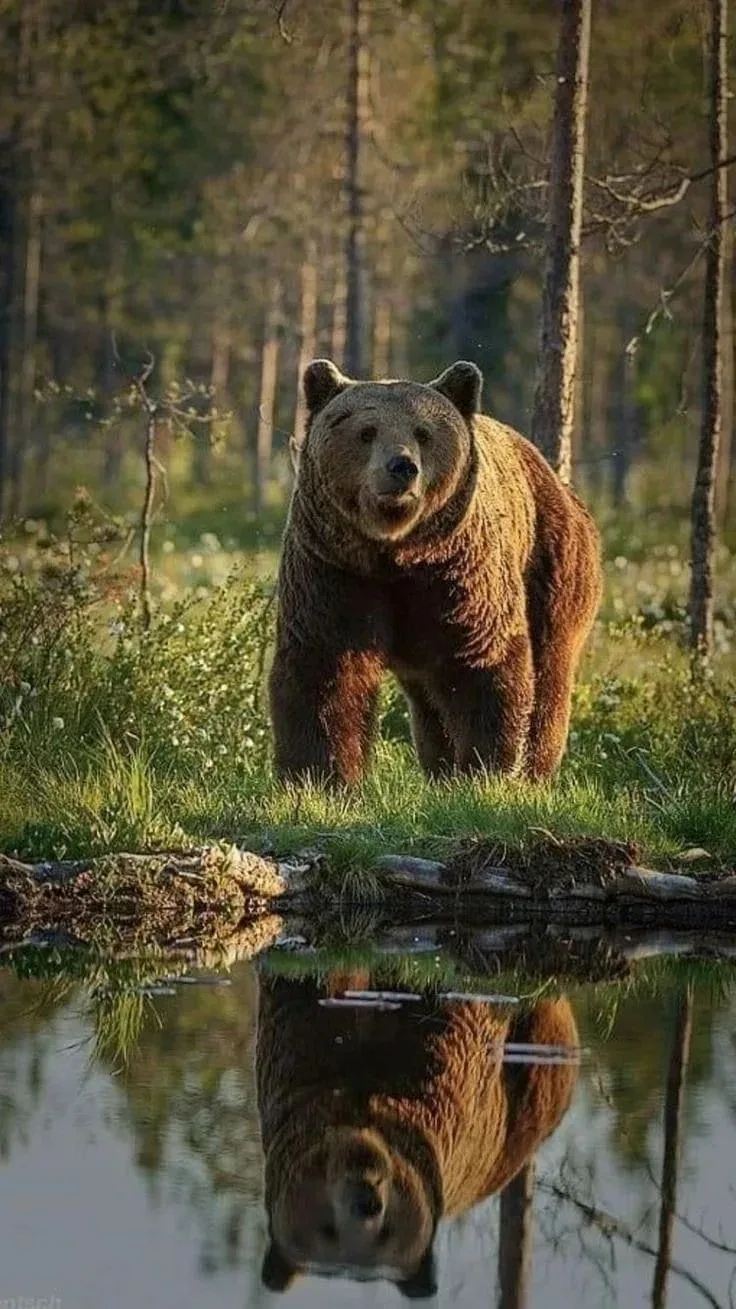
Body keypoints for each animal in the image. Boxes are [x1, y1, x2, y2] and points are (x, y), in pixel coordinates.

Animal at [269, 358, 602, 787]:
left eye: (423, 433)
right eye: (366, 431)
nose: (402, 467)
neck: (394, 554)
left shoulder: (459, 576)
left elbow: (483, 664)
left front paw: (487, 769)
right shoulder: (334, 570)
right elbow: (323, 670)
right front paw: (318, 775)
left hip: (554, 566)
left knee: (548, 675)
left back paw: (533, 770)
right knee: (430, 702)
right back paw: (440, 768)